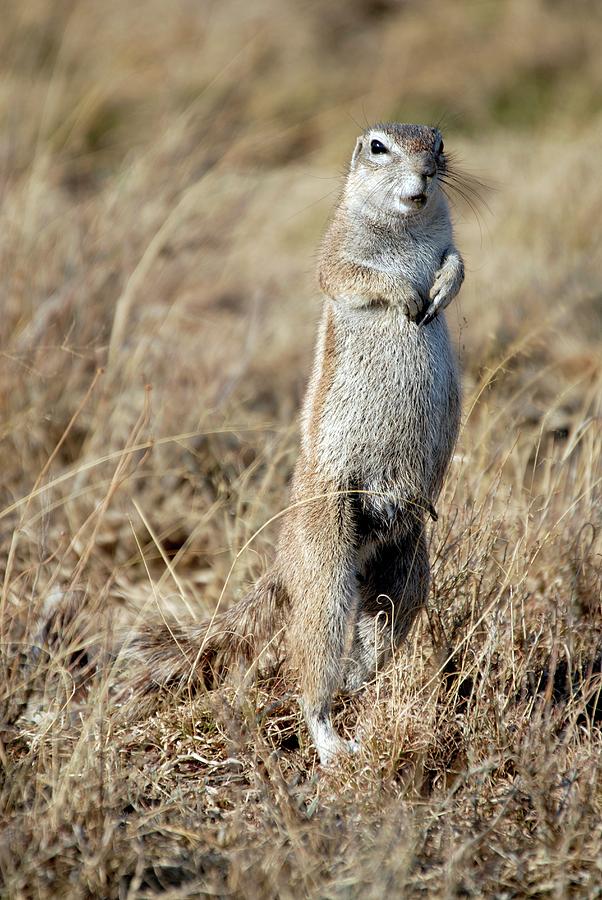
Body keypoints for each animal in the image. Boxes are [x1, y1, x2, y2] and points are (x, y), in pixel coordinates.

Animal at [130, 121, 460, 768]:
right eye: (378, 147)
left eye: (437, 143)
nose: (425, 174)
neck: (408, 222)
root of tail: (287, 560)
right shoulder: (336, 255)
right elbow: (354, 277)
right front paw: (409, 298)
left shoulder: (449, 236)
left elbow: (458, 261)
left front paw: (443, 287)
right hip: (327, 559)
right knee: (310, 666)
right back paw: (331, 742)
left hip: (406, 572)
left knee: (372, 641)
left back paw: (358, 683)